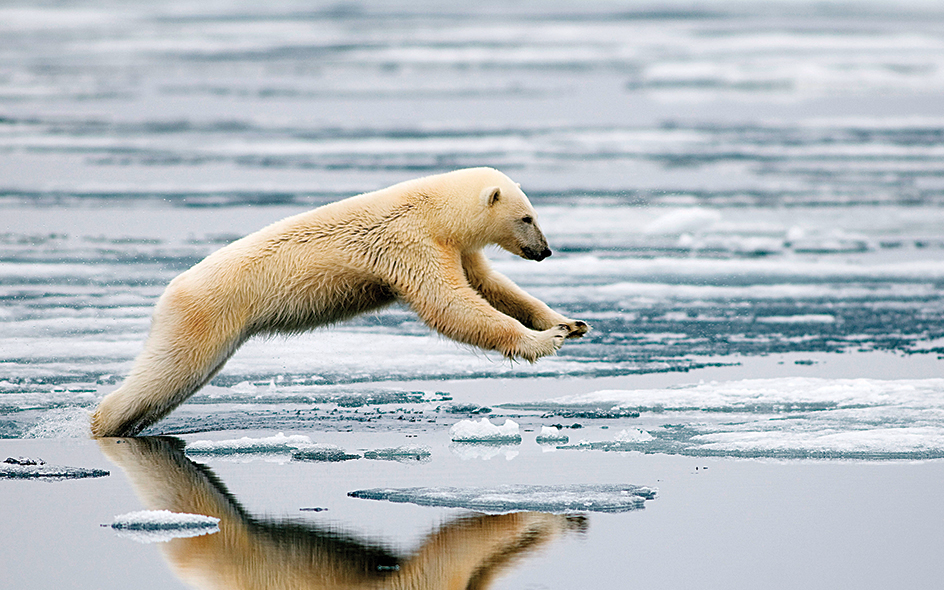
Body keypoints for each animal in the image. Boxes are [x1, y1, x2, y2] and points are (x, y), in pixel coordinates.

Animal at [90, 169, 592, 438]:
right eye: (527, 217)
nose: (545, 251)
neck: (432, 210)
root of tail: (167, 293)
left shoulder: (453, 247)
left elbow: (491, 286)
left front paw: (568, 323)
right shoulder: (409, 243)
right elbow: (451, 305)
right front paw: (543, 341)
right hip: (205, 314)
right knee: (167, 371)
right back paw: (102, 422)